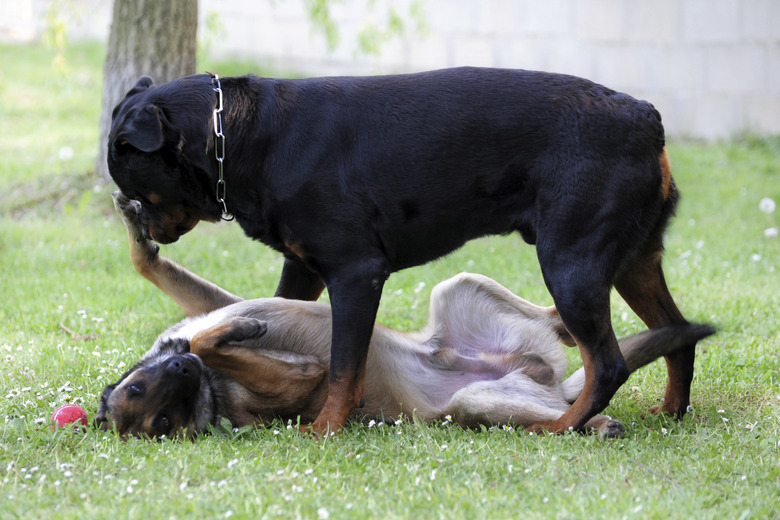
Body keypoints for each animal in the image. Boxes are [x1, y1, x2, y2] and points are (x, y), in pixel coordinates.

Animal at [96, 193, 712, 440]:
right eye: (162, 422)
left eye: (139, 389)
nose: (182, 374)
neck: (214, 393)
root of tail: (546, 382)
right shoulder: (299, 380)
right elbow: (216, 344)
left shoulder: (215, 306)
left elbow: (166, 282)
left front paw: (138, 236)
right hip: (478, 403)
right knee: (563, 407)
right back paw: (594, 420)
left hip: (455, 287)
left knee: (569, 323)